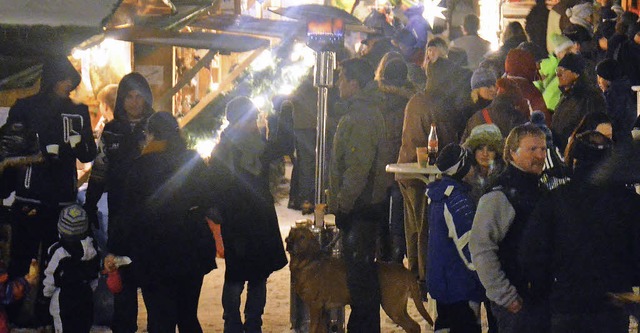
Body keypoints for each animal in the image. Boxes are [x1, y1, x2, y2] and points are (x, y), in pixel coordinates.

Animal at [286, 227, 432, 330]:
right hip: (399, 307)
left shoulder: (315, 306)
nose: (290, 243)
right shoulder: (322, 310)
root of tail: (405, 271)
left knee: (413, 326)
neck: (307, 262)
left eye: (302, 237)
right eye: (291, 235)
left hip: (392, 306)